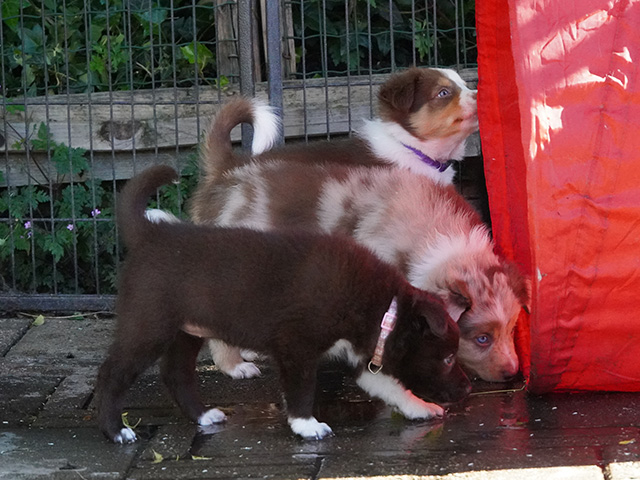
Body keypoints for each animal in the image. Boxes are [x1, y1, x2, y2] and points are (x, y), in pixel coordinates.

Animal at [97, 165, 471, 444]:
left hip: (187, 331)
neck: (383, 309)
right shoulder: (297, 347)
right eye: (448, 358)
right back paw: (116, 431)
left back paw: (203, 416)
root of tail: (150, 234)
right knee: (112, 372)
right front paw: (307, 425)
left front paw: (419, 407)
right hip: (149, 325)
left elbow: (389, 385)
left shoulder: (355, 354)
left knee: (176, 373)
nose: (468, 388)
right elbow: (302, 388)